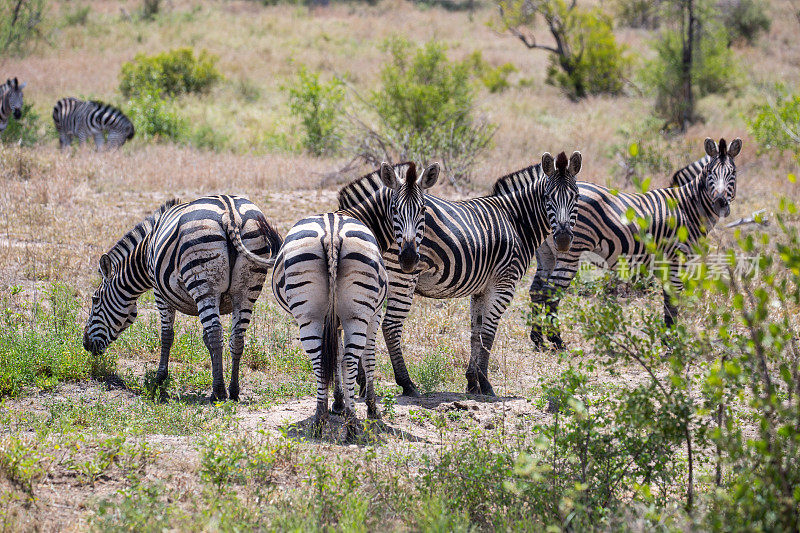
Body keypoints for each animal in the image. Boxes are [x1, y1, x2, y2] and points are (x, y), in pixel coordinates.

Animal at [83, 194, 282, 400]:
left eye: (95, 299)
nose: (85, 344)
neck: (145, 253)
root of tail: (230, 213)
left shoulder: (159, 292)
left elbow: (167, 335)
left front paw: (159, 379)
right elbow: (206, 339)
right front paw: (215, 377)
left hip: (204, 283)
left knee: (215, 332)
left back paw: (219, 392)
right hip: (246, 291)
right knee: (237, 337)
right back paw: (233, 391)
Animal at [338, 150, 580, 394]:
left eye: (576, 197)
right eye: (548, 197)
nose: (563, 240)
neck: (516, 221)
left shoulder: (481, 289)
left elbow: (476, 332)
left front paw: (472, 381)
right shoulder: (504, 284)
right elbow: (488, 333)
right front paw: (485, 383)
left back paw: (361, 382)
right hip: (402, 276)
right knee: (390, 326)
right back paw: (406, 383)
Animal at [532, 136, 744, 350]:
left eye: (733, 173)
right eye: (710, 173)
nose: (720, 204)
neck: (688, 207)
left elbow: (667, 298)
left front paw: (667, 338)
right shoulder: (677, 258)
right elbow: (673, 298)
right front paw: (671, 341)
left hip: (547, 252)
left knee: (536, 290)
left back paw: (538, 339)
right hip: (570, 249)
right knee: (551, 291)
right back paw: (557, 340)